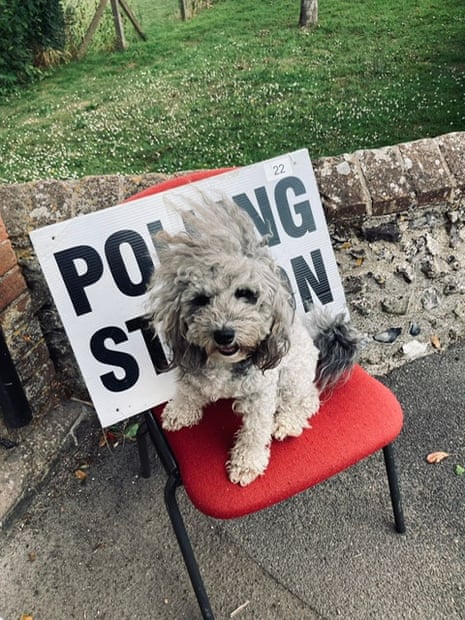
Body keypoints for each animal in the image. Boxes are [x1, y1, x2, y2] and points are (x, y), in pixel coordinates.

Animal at [147, 196, 358, 486]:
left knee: (308, 399)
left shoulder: (261, 394)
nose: (224, 333)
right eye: (201, 299)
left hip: (292, 376)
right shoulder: (193, 370)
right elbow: (188, 390)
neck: (225, 364)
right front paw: (180, 411)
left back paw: (287, 422)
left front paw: (247, 463)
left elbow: (256, 431)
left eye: (245, 294)